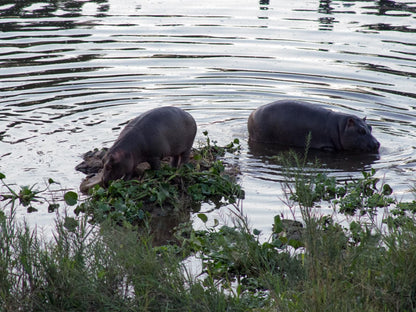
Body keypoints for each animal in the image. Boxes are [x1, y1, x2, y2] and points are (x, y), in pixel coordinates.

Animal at [247, 100, 380, 153]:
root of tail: (252, 114)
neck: (340, 127)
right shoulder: (327, 146)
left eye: (370, 127)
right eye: (361, 130)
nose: (377, 143)